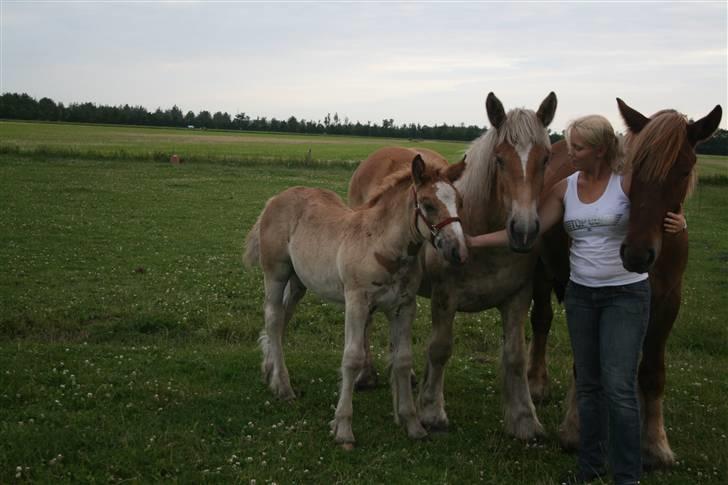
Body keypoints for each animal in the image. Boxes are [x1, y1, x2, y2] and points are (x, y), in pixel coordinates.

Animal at [245, 155, 466, 446]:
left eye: (460, 202)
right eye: (428, 205)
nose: (458, 251)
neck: (382, 245)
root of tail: (275, 199)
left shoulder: (404, 307)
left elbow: (403, 360)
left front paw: (413, 424)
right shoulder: (357, 302)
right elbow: (352, 358)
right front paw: (343, 428)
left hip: (298, 282)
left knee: (281, 320)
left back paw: (270, 372)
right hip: (276, 273)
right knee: (273, 318)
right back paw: (283, 386)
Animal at [346, 91, 556, 438]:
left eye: (546, 159)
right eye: (500, 159)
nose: (524, 230)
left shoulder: (518, 297)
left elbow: (515, 356)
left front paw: (525, 419)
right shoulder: (445, 297)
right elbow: (440, 349)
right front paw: (431, 411)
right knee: (367, 321)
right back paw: (366, 374)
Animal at [528, 97, 724, 466]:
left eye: (684, 168)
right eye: (635, 166)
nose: (636, 254)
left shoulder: (667, 302)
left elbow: (651, 371)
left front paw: (655, 443)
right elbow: (584, 362)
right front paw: (575, 428)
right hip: (542, 272)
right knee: (541, 321)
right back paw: (537, 384)